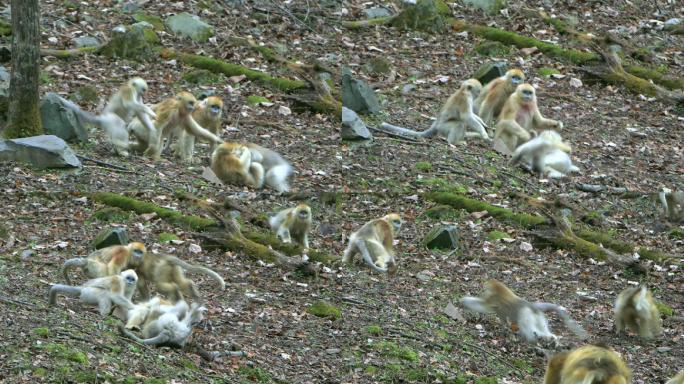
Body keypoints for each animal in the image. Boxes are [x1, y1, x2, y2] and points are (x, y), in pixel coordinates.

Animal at [456, 278, 584, 344]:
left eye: (484, 288)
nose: (482, 290)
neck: (496, 288)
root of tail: (533, 307)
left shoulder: (492, 299)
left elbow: (485, 306)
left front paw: (463, 301)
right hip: (539, 317)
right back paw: (549, 337)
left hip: (527, 313)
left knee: (525, 321)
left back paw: (533, 338)